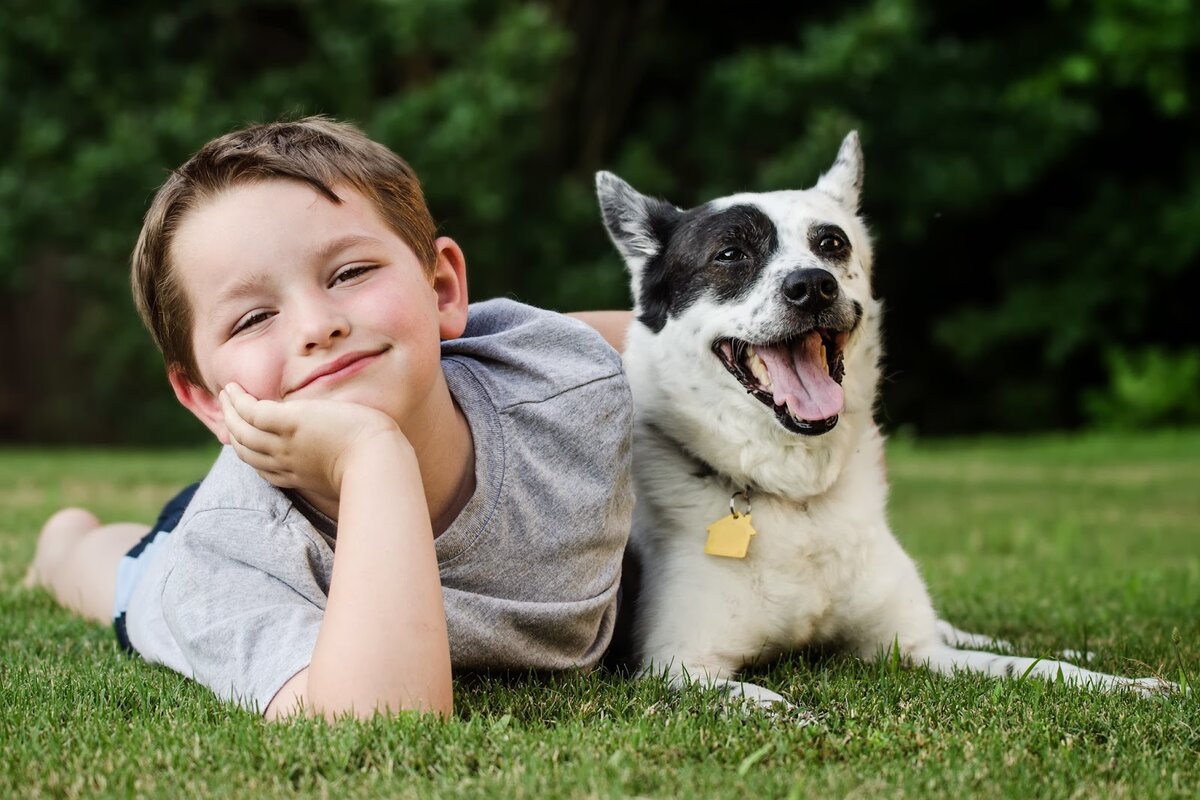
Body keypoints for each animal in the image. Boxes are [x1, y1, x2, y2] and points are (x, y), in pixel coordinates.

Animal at [595, 134, 1176, 710]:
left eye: (831, 244)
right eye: (730, 254)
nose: (813, 286)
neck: (799, 499)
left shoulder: (913, 648)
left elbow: (1033, 668)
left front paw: (1125, 684)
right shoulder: (677, 665)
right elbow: (763, 703)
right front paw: (797, 718)